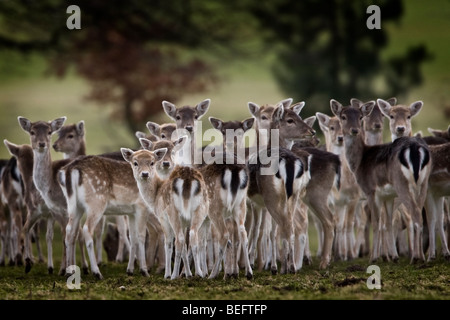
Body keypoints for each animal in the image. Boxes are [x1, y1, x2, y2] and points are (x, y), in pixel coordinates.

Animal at [330, 99, 432, 262]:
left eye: (360, 117)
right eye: (343, 117)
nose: (354, 130)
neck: (360, 162)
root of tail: (415, 148)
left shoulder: (370, 190)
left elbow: (377, 222)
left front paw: (374, 258)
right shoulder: (388, 196)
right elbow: (388, 222)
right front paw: (393, 257)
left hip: (402, 183)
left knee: (415, 214)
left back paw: (416, 258)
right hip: (423, 183)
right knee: (420, 216)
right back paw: (420, 256)